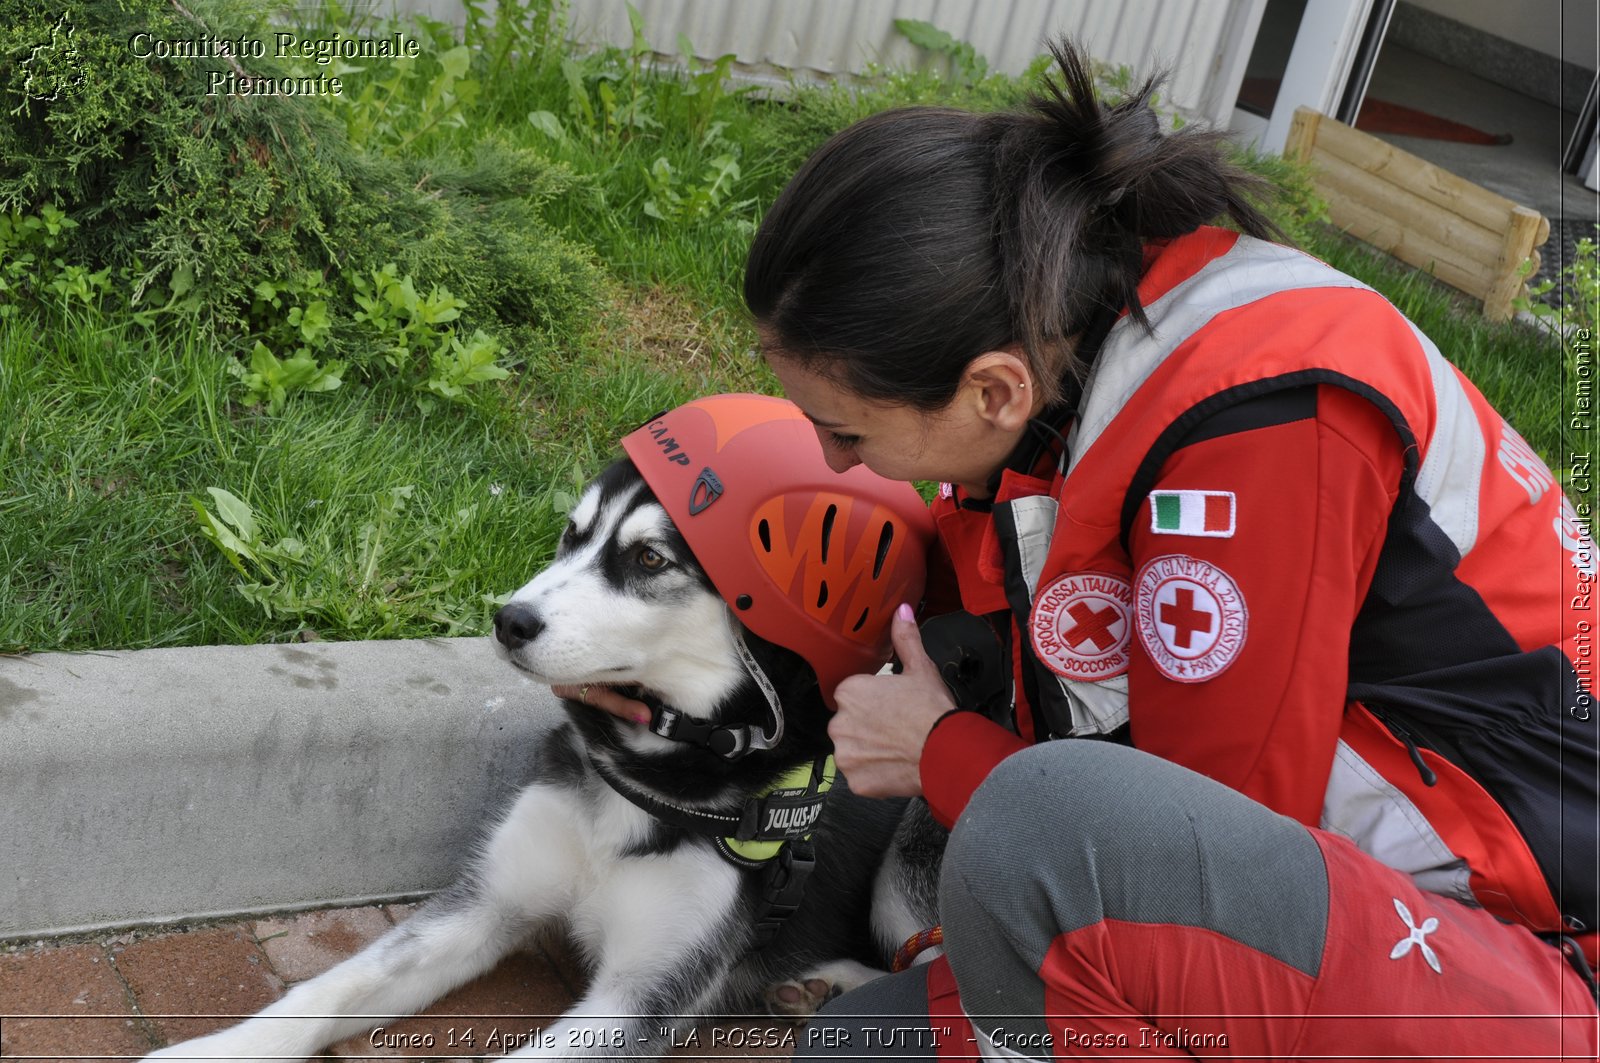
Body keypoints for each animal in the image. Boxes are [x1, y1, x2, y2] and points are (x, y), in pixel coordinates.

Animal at [144, 445, 940, 1056]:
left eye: (649, 557)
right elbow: (330, 987)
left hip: (911, 852)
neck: (647, 775)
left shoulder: (641, 996)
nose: (508, 620)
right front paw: (210, 1052)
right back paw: (813, 987)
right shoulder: (488, 902)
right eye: (572, 533)